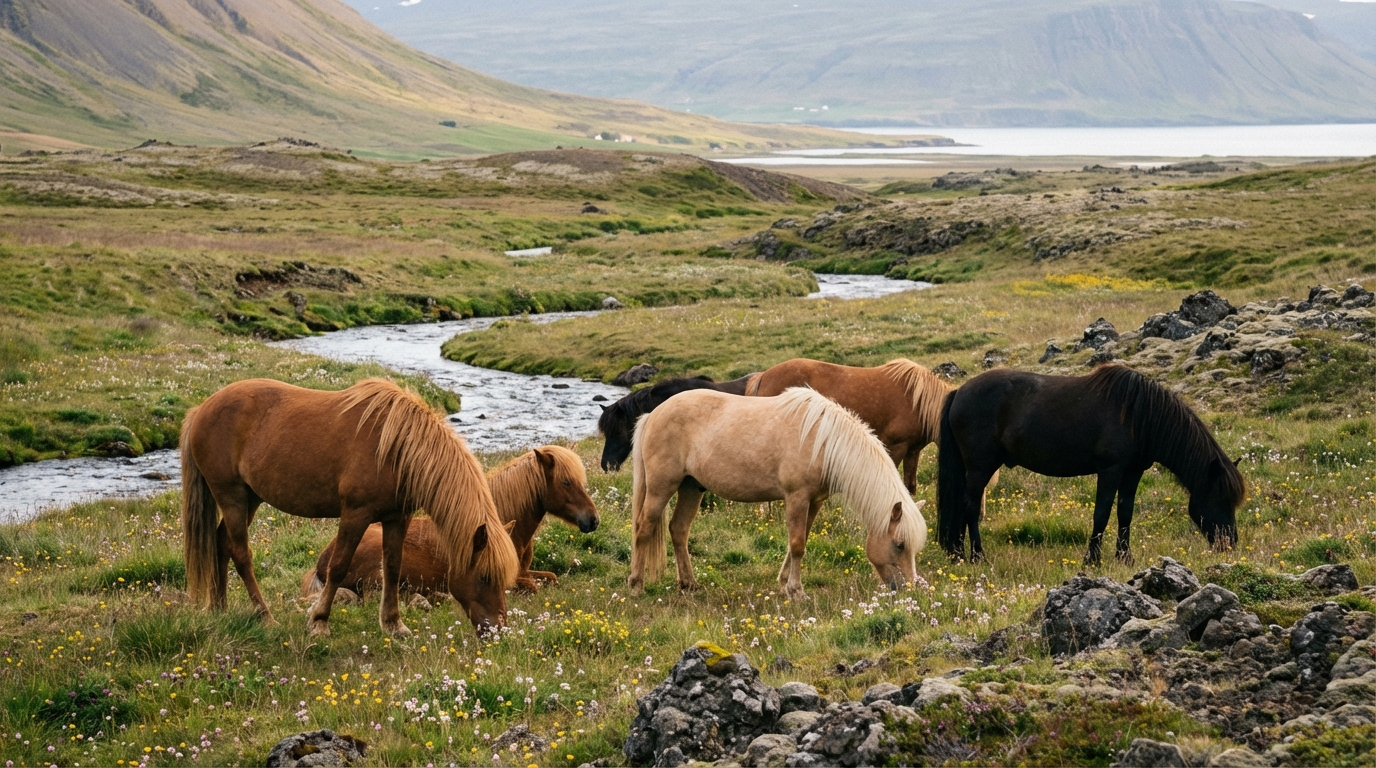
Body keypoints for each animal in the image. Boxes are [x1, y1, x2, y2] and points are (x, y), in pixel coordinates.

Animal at [180, 378, 519, 637]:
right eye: (485, 577)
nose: (497, 630)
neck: (395, 448)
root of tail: (201, 409)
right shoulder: (355, 514)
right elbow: (338, 566)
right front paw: (319, 623)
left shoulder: (397, 518)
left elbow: (392, 567)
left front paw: (394, 625)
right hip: (232, 497)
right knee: (240, 553)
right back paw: (264, 616)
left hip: (249, 498)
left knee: (221, 542)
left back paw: (220, 608)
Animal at [629, 387, 927, 599]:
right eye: (900, 545)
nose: (908, 590)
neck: (823, 441)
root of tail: (652, 415)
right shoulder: (796, 498)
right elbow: (797, 544)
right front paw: (796, 591)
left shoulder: (814, 501)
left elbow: (799, 541)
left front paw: (784, 584)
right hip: (661, 488)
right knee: (643, 528)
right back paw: (636, 585)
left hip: (692, 488)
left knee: (679, 530)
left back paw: (689, 584)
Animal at [935, 364, 1245, 565]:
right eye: (1220, 499)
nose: (1230, 543)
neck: (1139, 415)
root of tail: (959, 392)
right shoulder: (1110, 471)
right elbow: (1102, 514)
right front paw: (1092, 560)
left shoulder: (1133, 472)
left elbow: (1125, 514)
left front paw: (1124, 558)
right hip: (980, 468)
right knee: (970, 508)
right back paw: (977, 556)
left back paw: (958, 553)